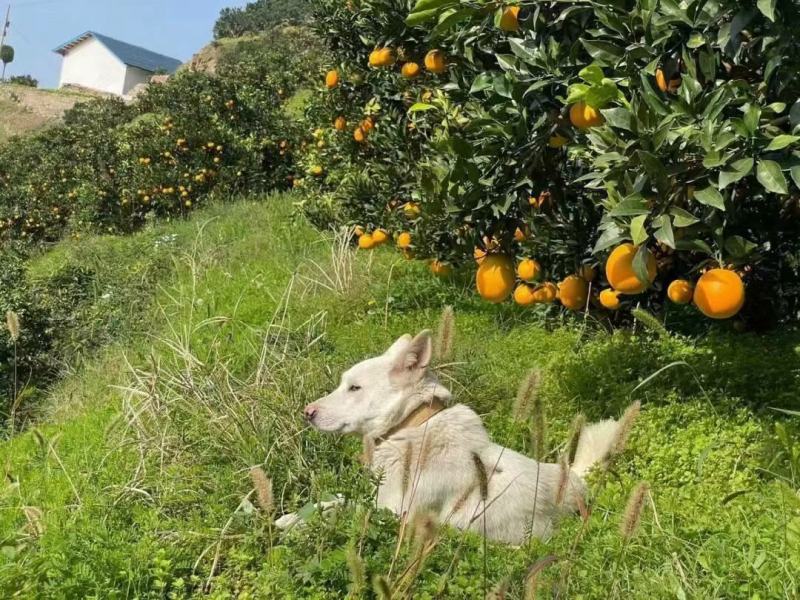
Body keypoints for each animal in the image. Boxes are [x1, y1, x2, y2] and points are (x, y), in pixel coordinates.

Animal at [296, 330, 620, 548]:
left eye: (354, 388)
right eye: (344, 384)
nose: (307, 412)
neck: (409, 428)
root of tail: (577, 480)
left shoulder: (397, 516)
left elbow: (344, 508)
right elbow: (333, 501)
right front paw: (293, 518)